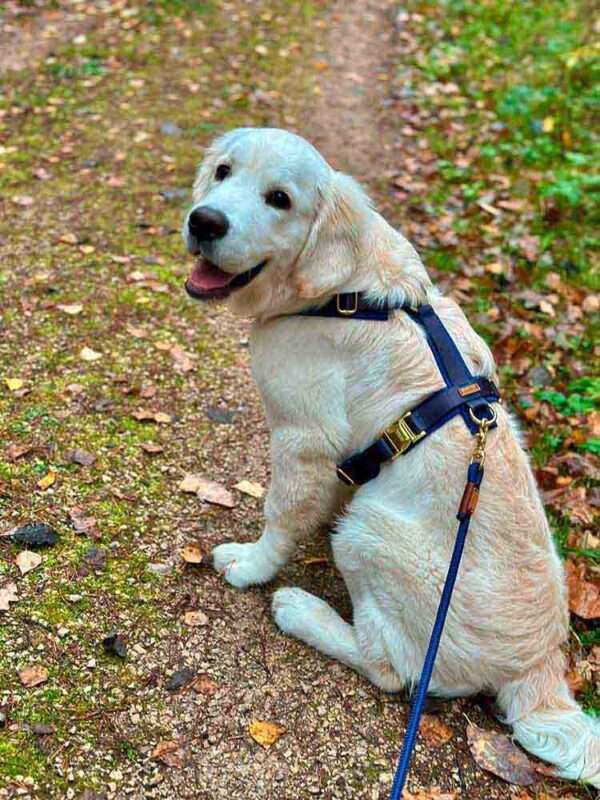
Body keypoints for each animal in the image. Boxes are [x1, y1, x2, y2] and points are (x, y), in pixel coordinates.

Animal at [183, 128, 600, 784]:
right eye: (224, 171)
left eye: (280, 199)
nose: (204, 221)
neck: (340, 293)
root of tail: (538, 666)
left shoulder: (301, 439)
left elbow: (279, 516)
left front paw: (251, 565)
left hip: (369, 530)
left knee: (389, 668)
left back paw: (301, 610)